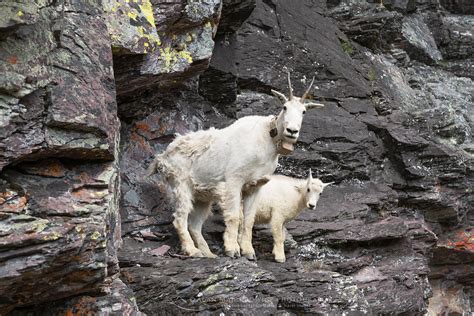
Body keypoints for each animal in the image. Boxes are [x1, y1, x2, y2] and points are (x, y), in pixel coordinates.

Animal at [149, 75, 326, 258]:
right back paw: (193, 251)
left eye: (304, 111)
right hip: (181, 184)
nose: (292, 131)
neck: (266, 141)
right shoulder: (234, 180)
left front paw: (248, 251)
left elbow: (249, 219)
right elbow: (234, 216)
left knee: (195, 224)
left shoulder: (256, 186)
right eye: (284, 107)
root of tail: (163, 156)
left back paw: (209, 254)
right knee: (180, 218)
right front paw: (232, 249)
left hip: (202, 196)